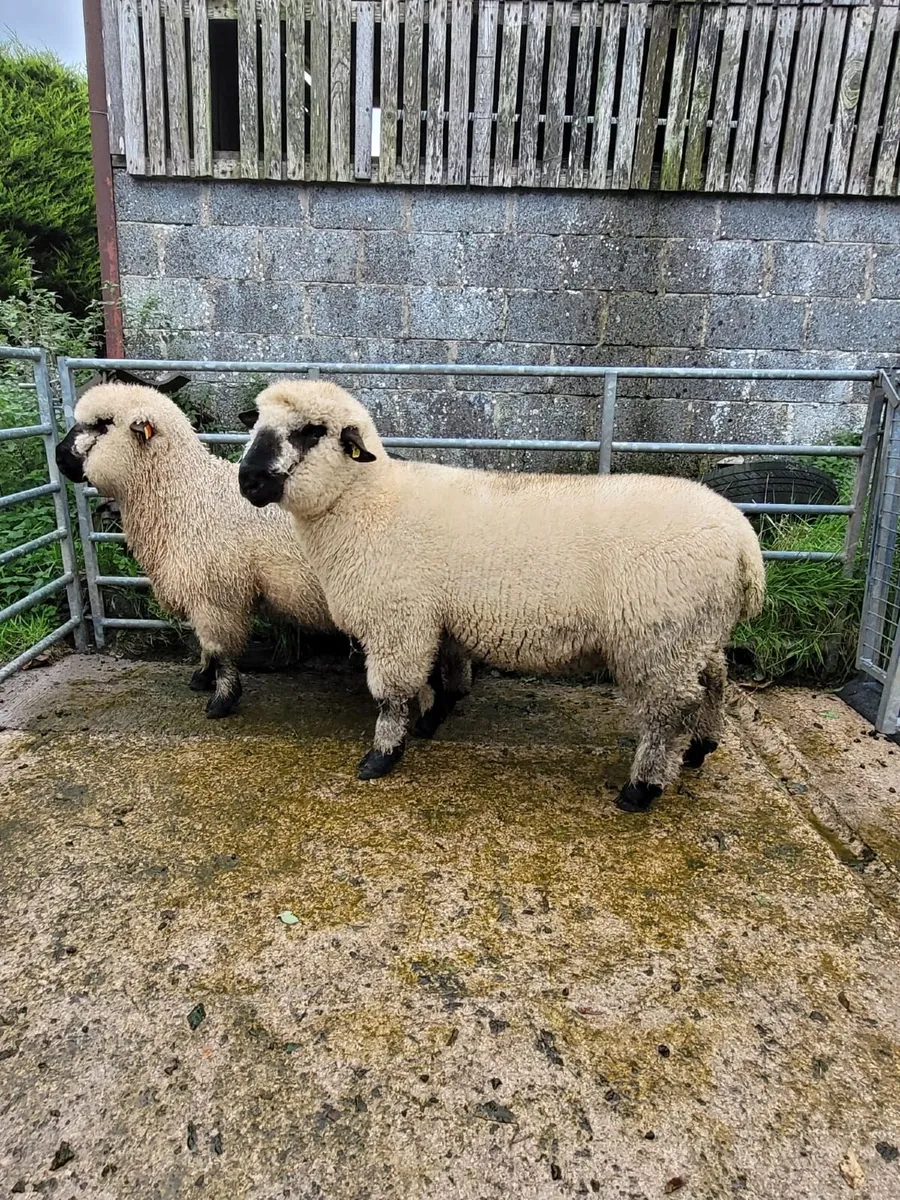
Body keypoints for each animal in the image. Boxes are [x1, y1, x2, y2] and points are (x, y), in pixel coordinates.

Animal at [56, 382, 471, 726]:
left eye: (103, 424)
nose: (58, 457)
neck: (185, 495)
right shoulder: (206, 593)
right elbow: (206, 646)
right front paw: (202, 678)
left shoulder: (215, 594)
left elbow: (220, 649)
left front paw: (221, 700)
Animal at [237, 379, 766, 811]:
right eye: (256, 422)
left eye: (311, 431)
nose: (248, 480)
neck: (364, 502)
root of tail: (744, 541)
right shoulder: (437, 617)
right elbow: (445, 678)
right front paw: (430, 722)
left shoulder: (398, 620)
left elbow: (392, 695)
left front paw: (382, 756)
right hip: (697, 631)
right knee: (715, 681)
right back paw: (701, 748)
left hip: (659, 640)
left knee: (669, 711)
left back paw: (642, 789)